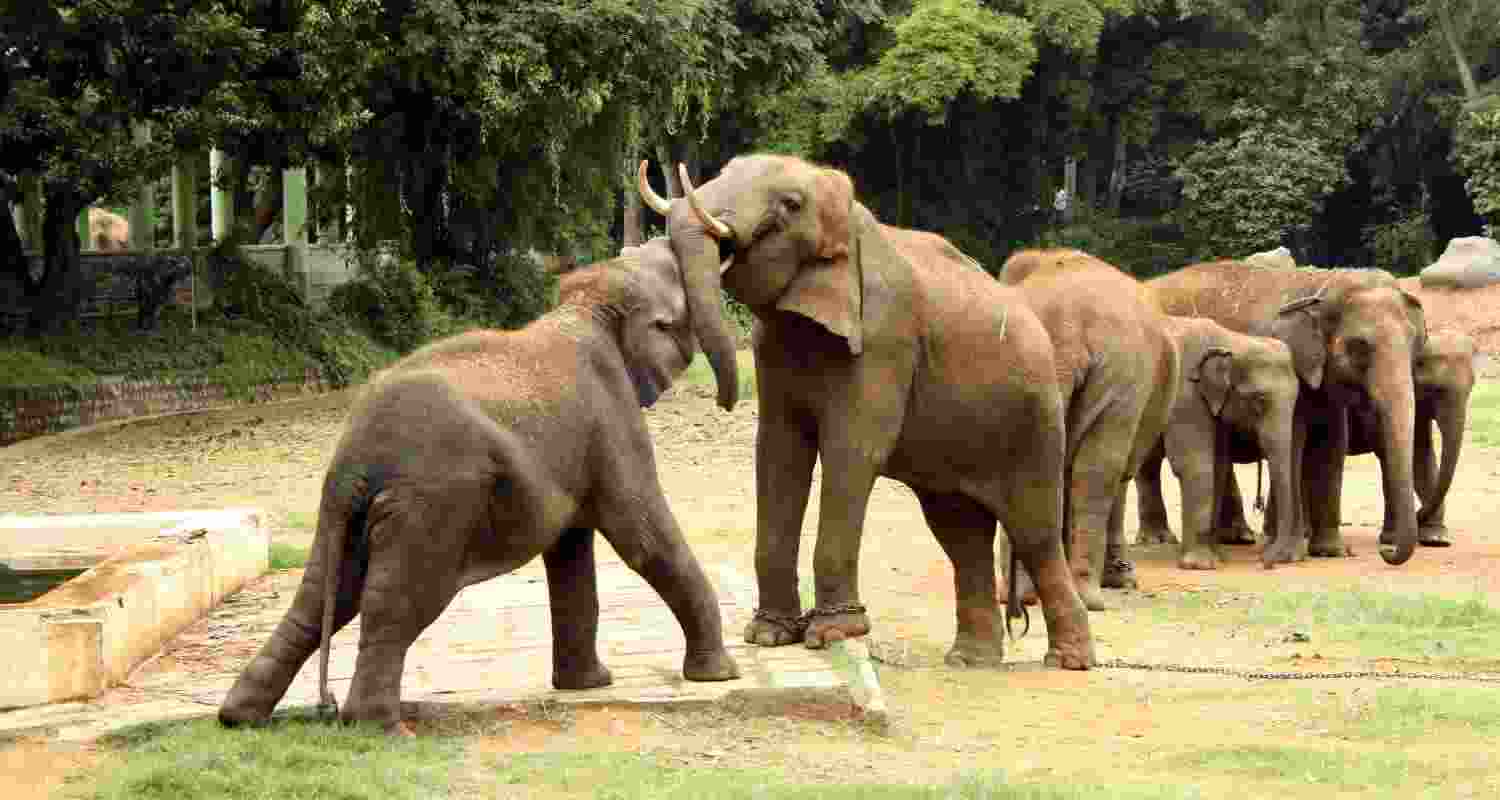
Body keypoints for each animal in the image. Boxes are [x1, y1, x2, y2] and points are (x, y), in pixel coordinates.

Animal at [218, 238, 741, 735]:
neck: (588, 304)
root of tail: (356, 460)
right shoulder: (612, 417)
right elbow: (641, 536)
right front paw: (719, 675)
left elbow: (570, 551)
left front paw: (589, 685)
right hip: (432, 501)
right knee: (396, 601)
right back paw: (384, 729)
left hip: (341, 509)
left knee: (321, 597)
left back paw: (240, 718)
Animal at [640, 156, 1095, 670]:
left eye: (790, 205)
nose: (721, 402)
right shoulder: (772, 346)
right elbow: (779, 453)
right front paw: (769, 636)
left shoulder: (884, 340)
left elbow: (851, 454)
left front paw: (832, 634)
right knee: (960, 535)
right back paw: (969, 661)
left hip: (1034, 423)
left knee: (1033, 531)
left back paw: (1069, 662)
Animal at [996, 249, 1181, 609]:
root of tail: (1064, 326)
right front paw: (1121, 578)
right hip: (1121, 372)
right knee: (1100, 468)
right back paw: (1085, 596)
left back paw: (1023, 596)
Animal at [1133, 317, 1301, 569]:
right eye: (1259, 400)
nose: (1266, 561)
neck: (1232, 339)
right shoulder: (1186, 395)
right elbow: (1196, 462)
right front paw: (1200, 565)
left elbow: (1219, 464)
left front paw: (1217, 557)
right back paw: (1153, 541)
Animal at [1147, 261, 1426, 565]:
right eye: (1359, 346)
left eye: (1415, 342)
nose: (1386, 552)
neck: (1321, 284)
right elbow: (1294, 442)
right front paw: (1290, 556)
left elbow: (1332, 446)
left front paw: (1332, 552)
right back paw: (1159, 539)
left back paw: (1234, 539)